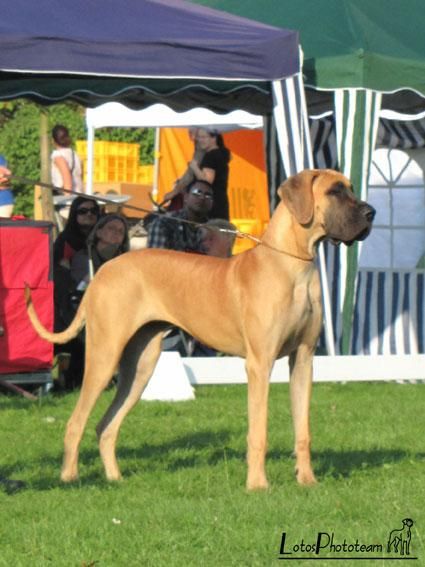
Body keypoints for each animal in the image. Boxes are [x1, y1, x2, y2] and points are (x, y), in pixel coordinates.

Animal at [26, 169, 375, 491]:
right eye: (334, 191)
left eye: (350, 188)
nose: (371, 212)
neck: (294, 266)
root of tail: (104, 271)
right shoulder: (259, 364)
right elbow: (258, 431)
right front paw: (257, 485)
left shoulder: (303, 360)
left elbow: (303, 429)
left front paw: (307, 480)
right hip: (105, 356)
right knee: (76, 422)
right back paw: (69, 477)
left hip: (141, 366)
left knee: (106, 425)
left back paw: (115, 478)